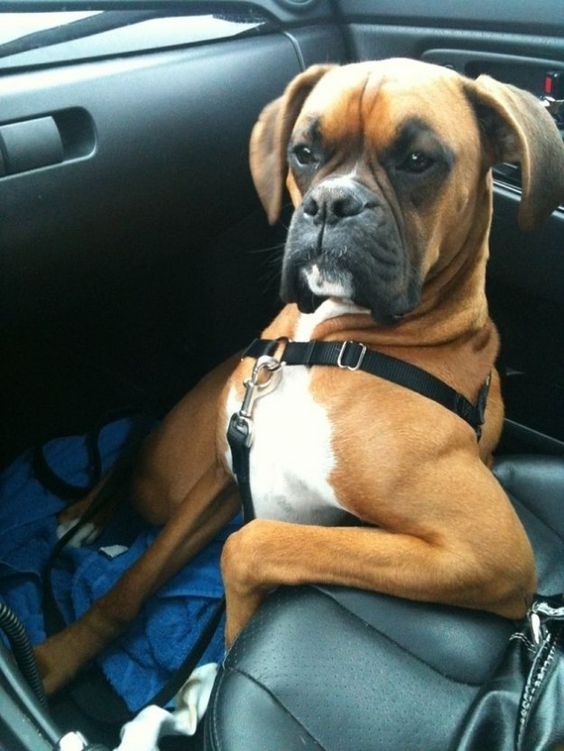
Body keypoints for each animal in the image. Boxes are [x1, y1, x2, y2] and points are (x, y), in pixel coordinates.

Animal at [35, 57, 564, 692]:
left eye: (418, 160)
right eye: (304, 153)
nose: (331, 203)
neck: (332, 344)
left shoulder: (487, 551)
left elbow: (249, 543)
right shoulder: (222, 472)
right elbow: (133, 582)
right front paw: (55, 659)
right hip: (177, 473)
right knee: (134, 456)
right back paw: (80, 514)